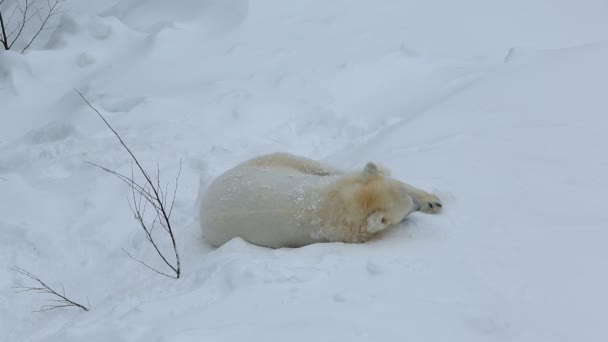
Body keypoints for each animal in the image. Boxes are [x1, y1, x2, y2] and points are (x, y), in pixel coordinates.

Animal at [200, 153, 442, 248]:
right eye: (408, 208)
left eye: (409, 199)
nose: (417, 204)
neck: (332, 204)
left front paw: (433, 202)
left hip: (264, 163)